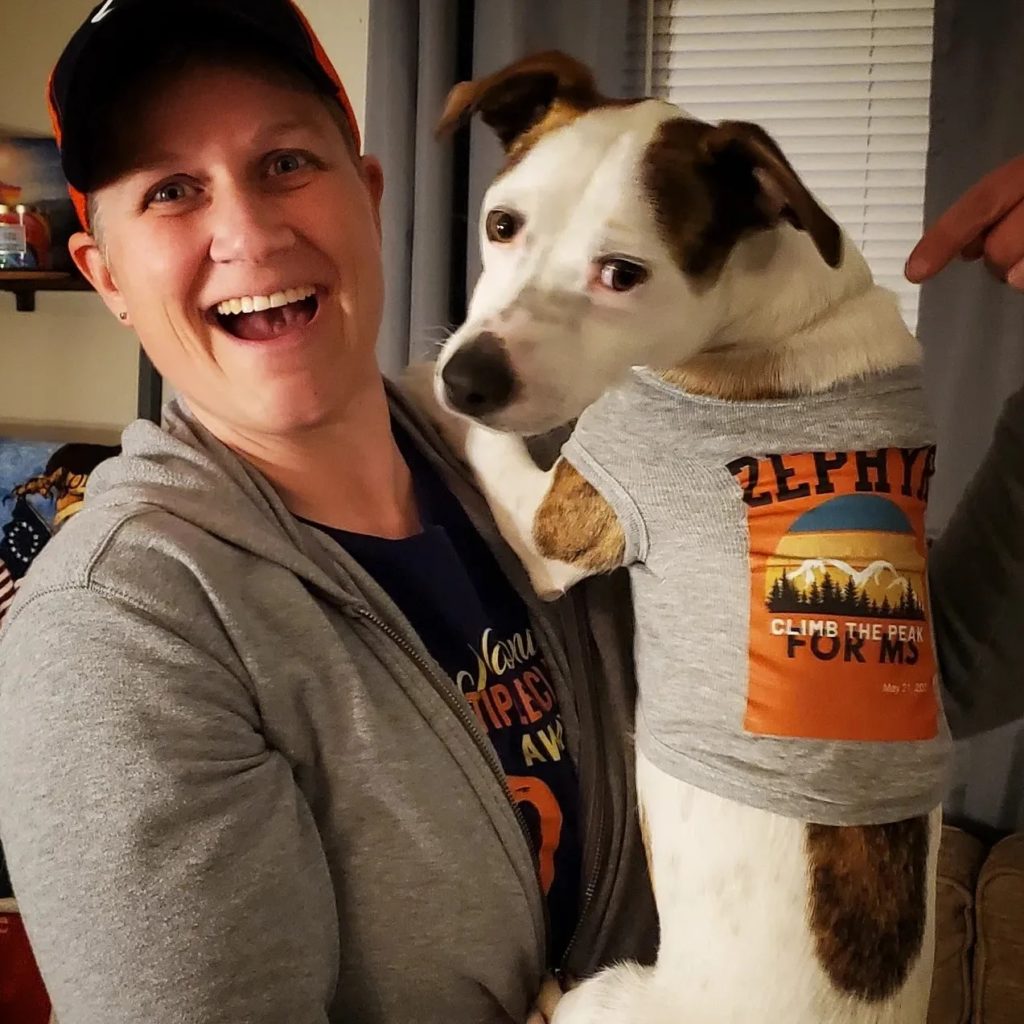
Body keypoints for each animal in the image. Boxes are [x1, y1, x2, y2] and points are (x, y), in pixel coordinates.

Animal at [409, 54, 950, 1024]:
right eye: (501, 224)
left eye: (622, 273)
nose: (468, 376)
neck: (778, 314)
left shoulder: (562, 517)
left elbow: (493, 447)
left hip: (609, 997)